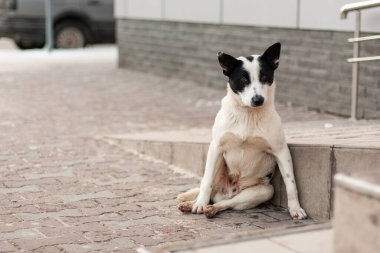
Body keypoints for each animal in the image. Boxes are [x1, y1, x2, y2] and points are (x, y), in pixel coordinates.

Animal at [177, 42, 306, 219]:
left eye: (264, 77)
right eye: (243, 79)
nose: (258, 100)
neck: (248, 115)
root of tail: (227, 191)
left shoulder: (281, 151)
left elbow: (290, 182)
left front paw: (295, 208)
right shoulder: (216, 148)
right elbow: (206, 181)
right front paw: (199, 204)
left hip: (264, 190)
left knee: (226, 203)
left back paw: (211, 208)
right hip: (217, 167)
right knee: (207, 186)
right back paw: (193, 203)